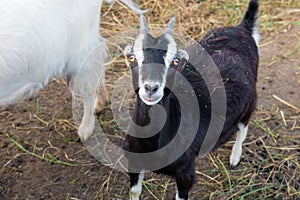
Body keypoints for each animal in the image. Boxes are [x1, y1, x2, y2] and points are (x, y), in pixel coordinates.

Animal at [123, 0, 258, 199]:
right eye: (133, 58)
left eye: (175, 61)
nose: (151, 88)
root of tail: (242, 29)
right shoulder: (134, 161)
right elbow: (134, 191)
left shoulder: (185, 173)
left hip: (249, 101)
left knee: (243, 126)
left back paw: (235, 157)